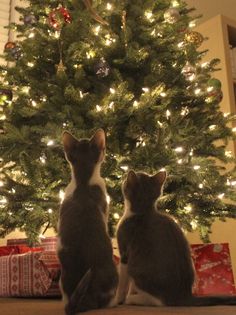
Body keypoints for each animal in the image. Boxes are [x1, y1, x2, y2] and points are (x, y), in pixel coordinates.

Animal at [116, 172, 236, 308]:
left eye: (126, 179)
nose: (123, 177)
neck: (142, 211)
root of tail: (184, 295)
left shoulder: (125, 251)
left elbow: (122, 282)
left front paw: (117, 300)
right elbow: (130, 285)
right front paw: (129, 293)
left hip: (136, 269)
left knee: (158, 302)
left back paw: (132, 299)